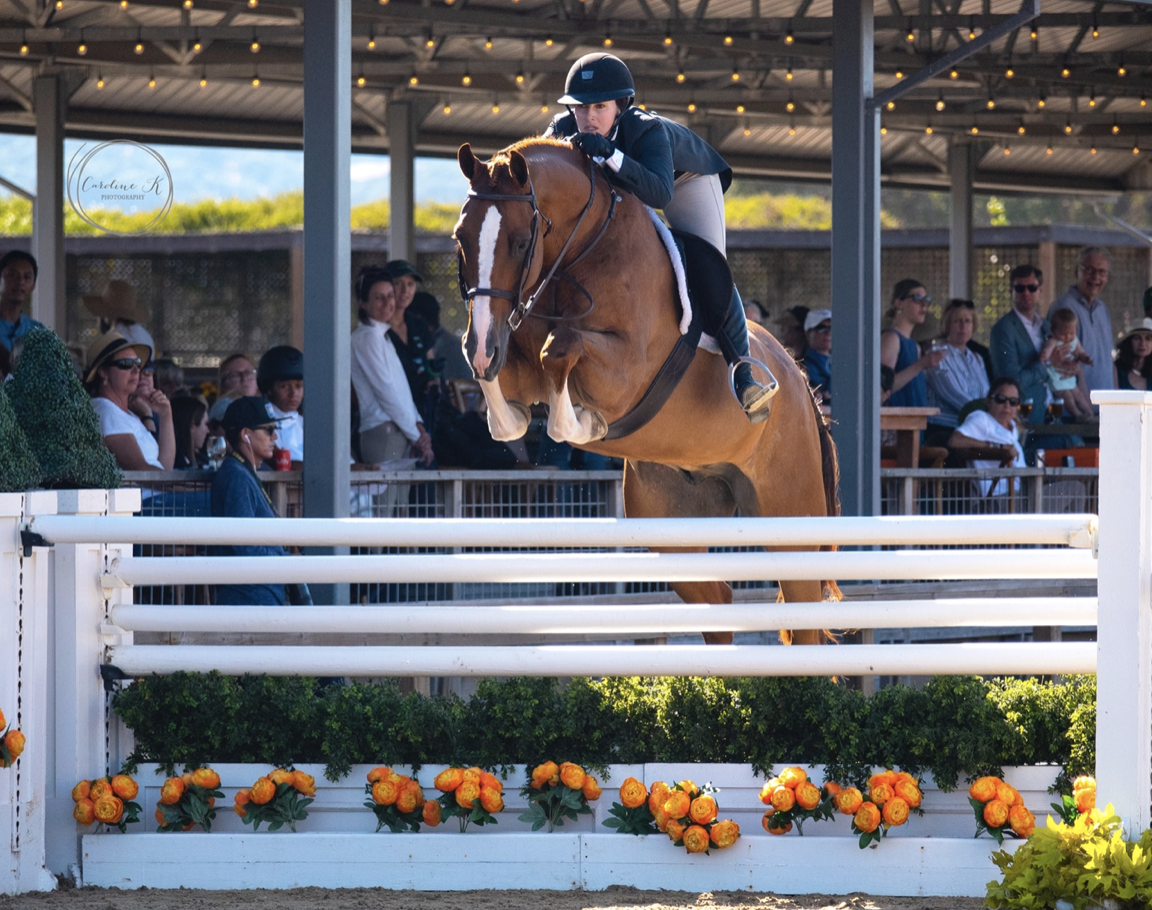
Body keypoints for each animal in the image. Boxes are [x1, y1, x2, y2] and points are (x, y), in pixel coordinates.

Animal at [453, 138, 843, 645]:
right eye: (460, 239)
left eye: (520, 243)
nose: (484, 345)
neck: (581, 250)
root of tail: (800, 382)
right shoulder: (511, 350)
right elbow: (507, 380)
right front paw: (514, 421)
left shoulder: (626, 370)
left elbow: (561, 347)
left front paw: (575, 423)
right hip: (672, 524)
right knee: (718, 599)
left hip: (790, 514)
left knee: (804, 612)